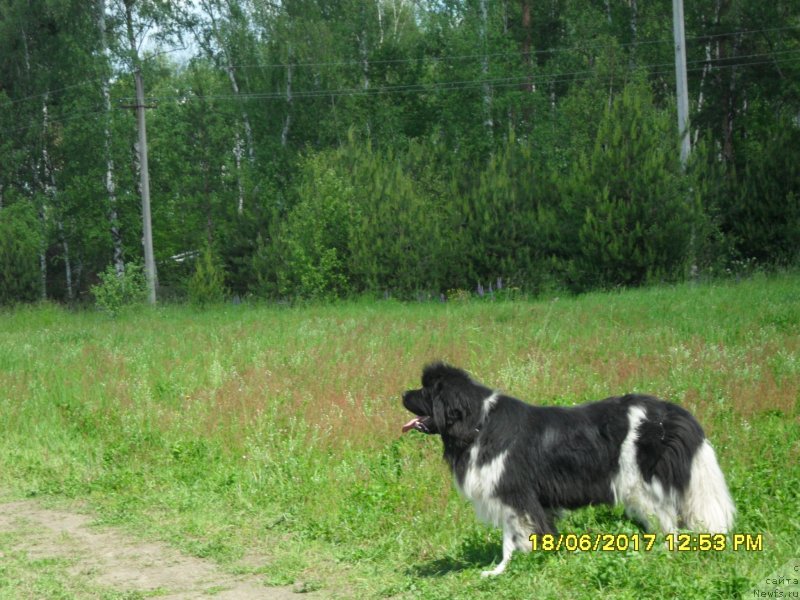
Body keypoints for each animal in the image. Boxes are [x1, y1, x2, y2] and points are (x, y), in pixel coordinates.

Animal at [404, 360, 736, 576]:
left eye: (425, 392)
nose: (402, 394)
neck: (477, 424)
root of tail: (672, 413)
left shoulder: (515, 494)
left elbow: (517, 538)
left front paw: (517, 567)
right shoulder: (516, 497)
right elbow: (514, 537)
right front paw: (502, 570)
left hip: (642, 487)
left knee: (668, 525)